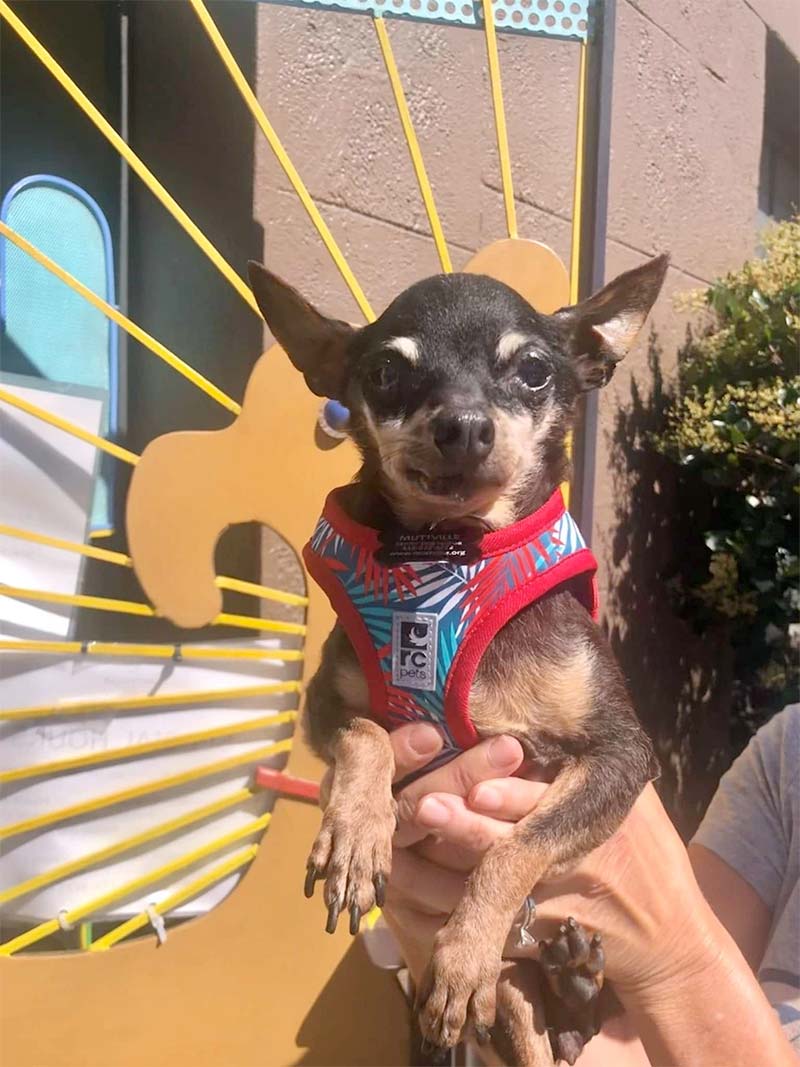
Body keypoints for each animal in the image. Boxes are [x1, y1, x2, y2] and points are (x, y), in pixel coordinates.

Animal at [250, 253, 669, 1062]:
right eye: (385, 372)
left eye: (533, 371)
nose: (464, 424)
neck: (452, 553)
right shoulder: (327, 703)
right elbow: (367, 734)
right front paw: (356, 833)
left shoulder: (622, 754)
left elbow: (515, 847)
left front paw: (466, 949)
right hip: (512, 1000)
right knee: (538, 1020)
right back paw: (570, 980)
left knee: (547, 1035)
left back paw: (571, 978)